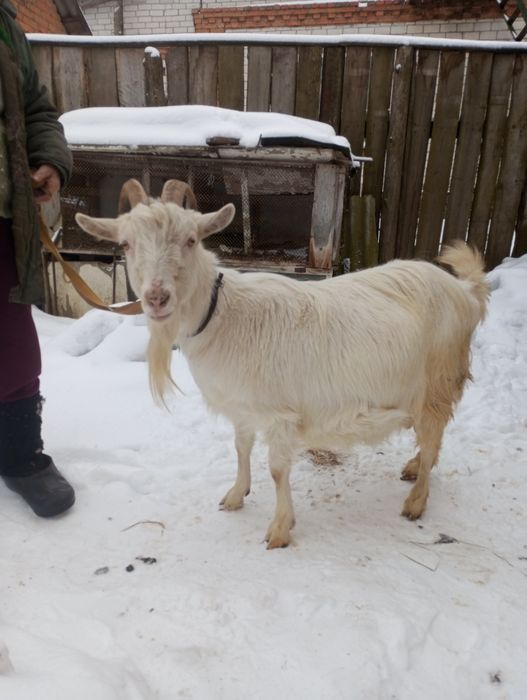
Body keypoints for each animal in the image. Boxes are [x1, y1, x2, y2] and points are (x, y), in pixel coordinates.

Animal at [75, 179, 489, 549]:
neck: (223, 315)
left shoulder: (280, 414)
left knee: (433, 435)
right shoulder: (241, 408)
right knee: (433, 435)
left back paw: (416, 501)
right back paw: (415, 467)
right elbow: (240, 448)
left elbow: (276, 470)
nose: (157, 298)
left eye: (190, 240)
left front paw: (279, 529)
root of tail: (465, 292)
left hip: (439, 379)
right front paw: (236, 494)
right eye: (126, 244)